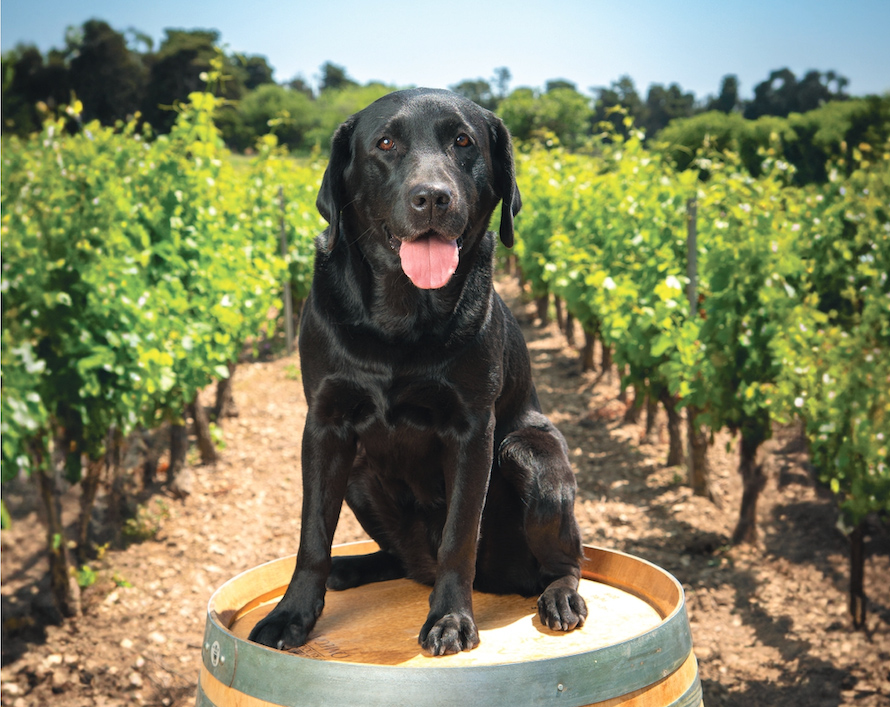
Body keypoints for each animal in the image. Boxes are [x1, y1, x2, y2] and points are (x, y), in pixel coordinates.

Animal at [250, 88, 584, 660]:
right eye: (385, 143)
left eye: (463, 141)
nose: (432, 197)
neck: (400, 316)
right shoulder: (325, 424)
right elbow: (312, 535)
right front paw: (291, 614)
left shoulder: (473, 431)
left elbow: (459, 536)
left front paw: (450, 619)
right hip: (359, 471)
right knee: (400, 560)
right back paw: (349, 569)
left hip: (532, 458)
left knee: (565, 562)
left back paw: (560, 597)